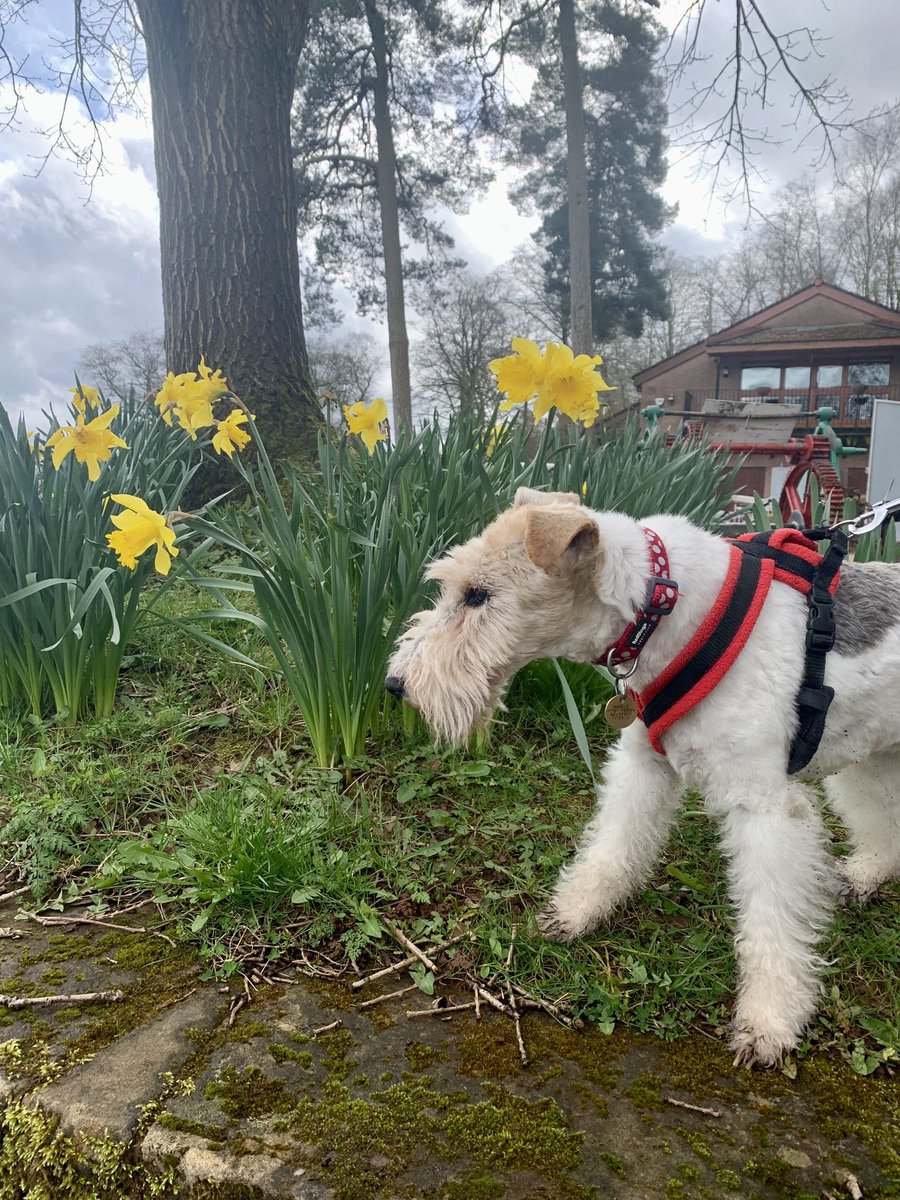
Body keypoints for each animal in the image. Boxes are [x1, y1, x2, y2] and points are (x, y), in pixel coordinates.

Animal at [388, 487, 900, 1070]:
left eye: (477, 594)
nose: (395, 684)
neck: (665, 605)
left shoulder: (762, 805)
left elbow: (770, 919)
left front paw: (768, 1023)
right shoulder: (642, 763)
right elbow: (613, 847)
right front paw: (574, 914)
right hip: (872, 759)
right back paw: (859, 878)